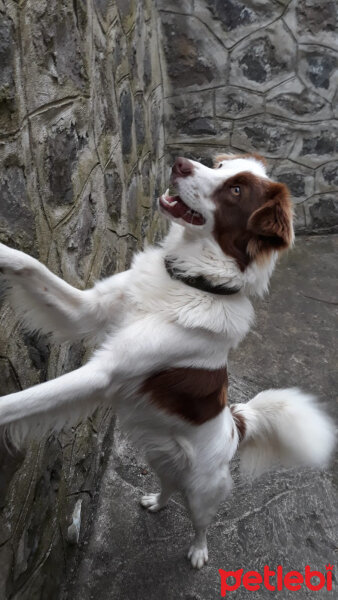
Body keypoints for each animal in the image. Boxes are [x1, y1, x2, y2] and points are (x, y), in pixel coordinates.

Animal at [0, 154, 334, 568]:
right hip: (161, 455)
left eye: (236, 189)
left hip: (203, 489)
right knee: (170, 485)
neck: (188, 282)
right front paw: (4, 252)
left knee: (201, 520)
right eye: (220, 165)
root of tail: (236, 424)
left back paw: (198, 551)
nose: (180, 163)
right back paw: (156, 502)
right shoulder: (87, 310)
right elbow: (33, 267)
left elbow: (21, 402)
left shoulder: (102, 372)